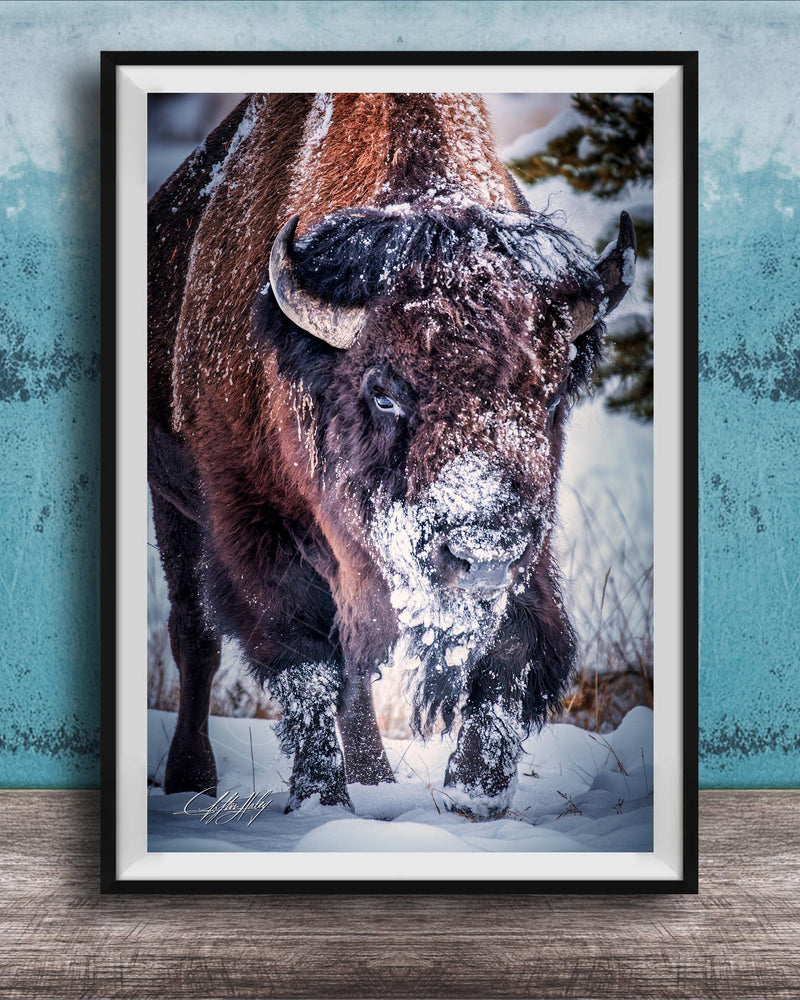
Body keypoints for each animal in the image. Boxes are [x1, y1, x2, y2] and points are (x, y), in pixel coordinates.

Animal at [148, 93, 635, 818]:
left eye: (551, 395)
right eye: (383, 393)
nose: (481, 554)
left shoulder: (530, 547)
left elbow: (510, 647)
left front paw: (475, 795)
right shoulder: (250, 523)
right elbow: (300, 658)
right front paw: (320, 801)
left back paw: (375, 778)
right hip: (173, 506)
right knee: (195, 635)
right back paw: (191, 779)